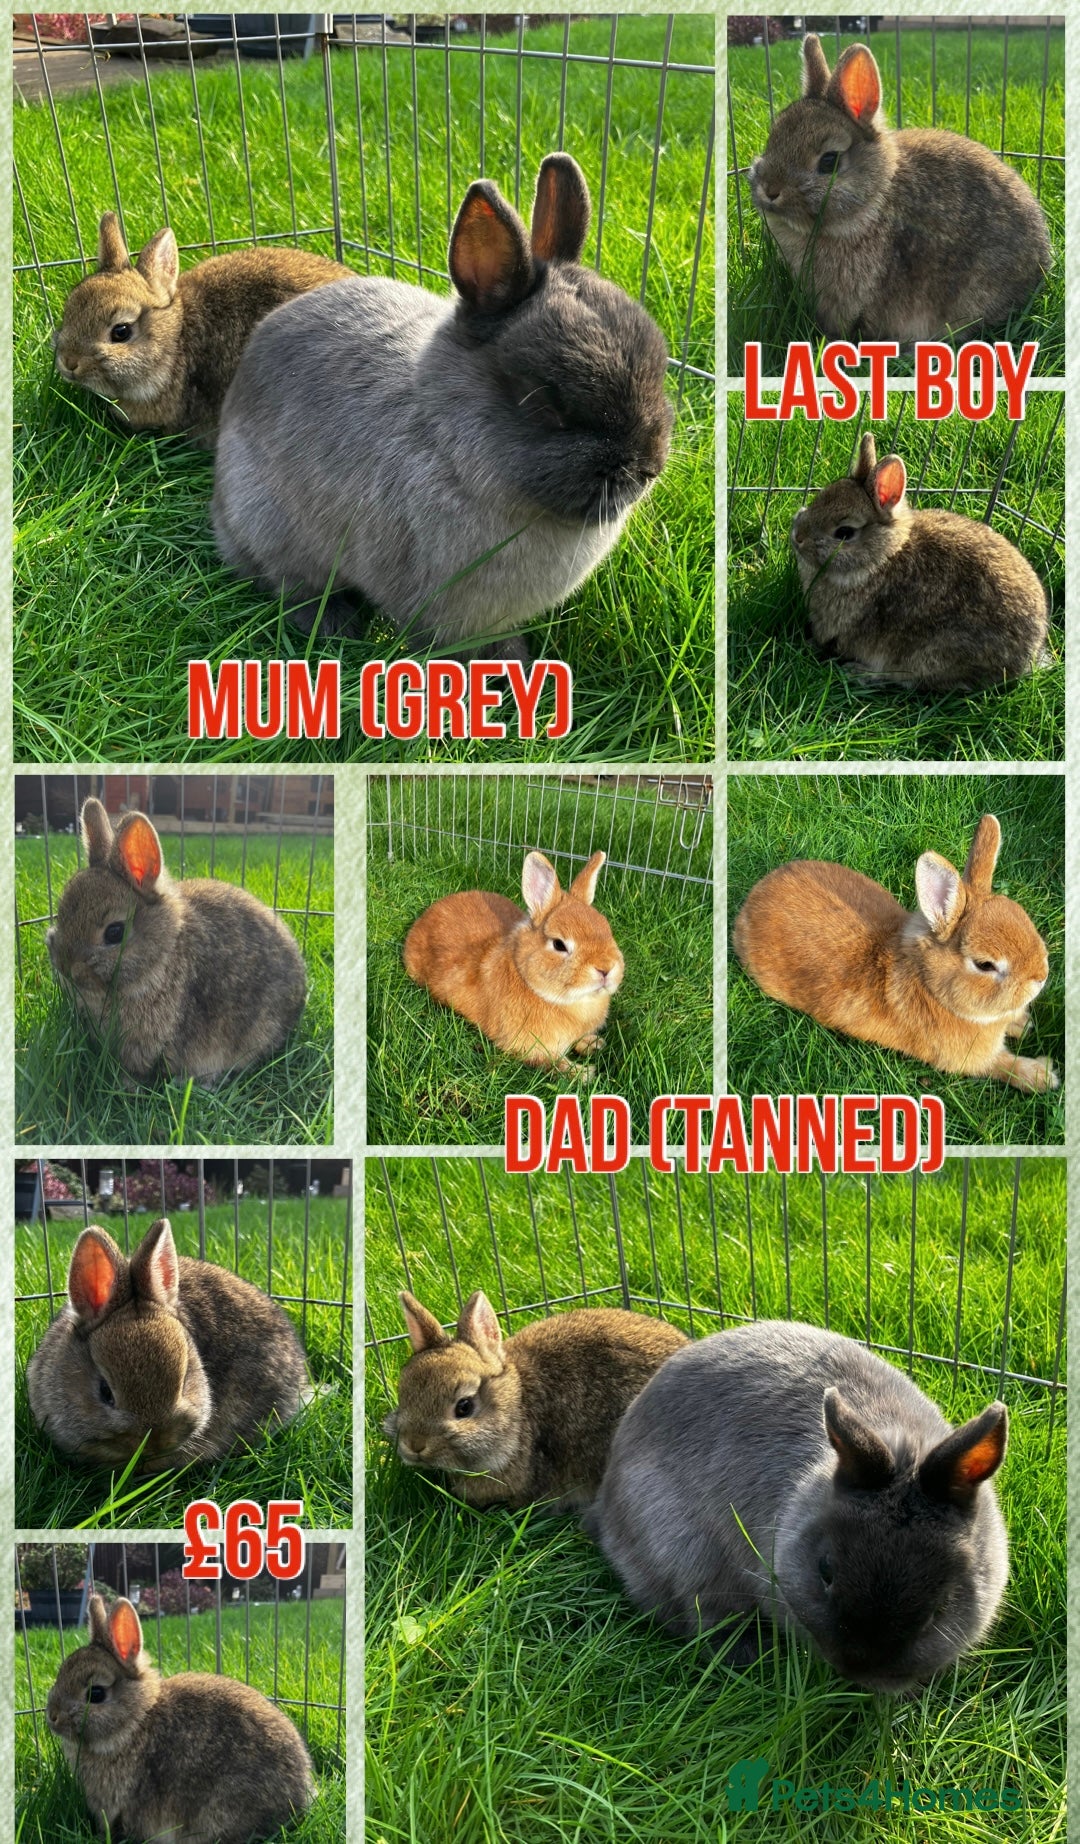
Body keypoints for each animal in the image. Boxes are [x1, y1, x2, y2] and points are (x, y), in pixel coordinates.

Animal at [403, 848, 624, 1075]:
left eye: (607, 929)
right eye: (559, 944)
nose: (606, 968)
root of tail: (427, 915)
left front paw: (594, 1043)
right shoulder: (531, 1049)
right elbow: (554, 1065)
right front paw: (584, 1073)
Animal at [732, 813, 1057, 1094]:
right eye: (985, 965)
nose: (1041, 977)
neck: (931, 985)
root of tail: (753, 898)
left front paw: (1023, 1023)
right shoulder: (971, 1060)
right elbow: (1003, 1066)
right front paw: (1043, 1076)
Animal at [790, 432, 1050, 691]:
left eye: (844, 533)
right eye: (818, 499)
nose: (798, 537)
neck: (883, 557)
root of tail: (1029, 653)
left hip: (932, 654)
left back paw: (859, 673)